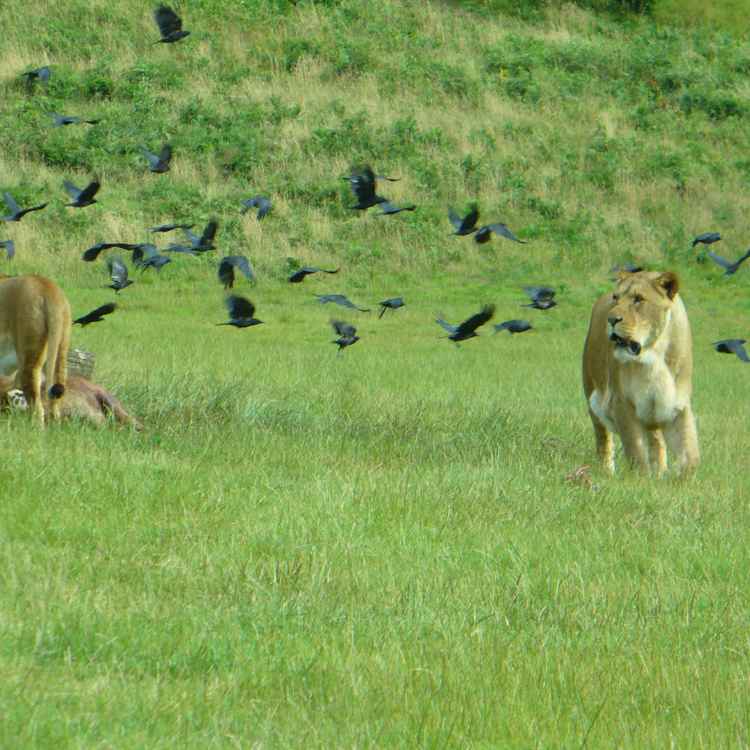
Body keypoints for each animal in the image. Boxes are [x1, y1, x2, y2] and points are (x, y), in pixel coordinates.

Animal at [582, 270, 699, 475]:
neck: (654, 355)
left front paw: (683, 479)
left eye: (638, 299)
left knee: (656, 442)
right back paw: (606, 472)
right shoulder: (621, 403)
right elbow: (635, 450)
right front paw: (640, 478)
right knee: (603, 438)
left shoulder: (676, 407)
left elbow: (691, 454)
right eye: (616, 298)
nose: (611, 319)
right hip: (593, 397)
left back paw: (659, 473)